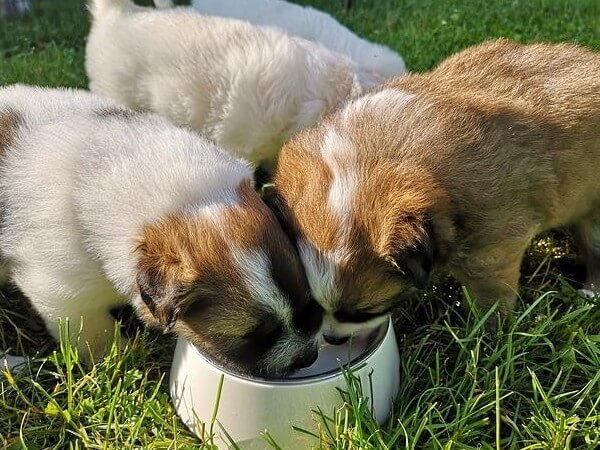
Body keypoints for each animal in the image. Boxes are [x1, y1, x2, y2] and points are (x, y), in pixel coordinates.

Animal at [0, 85, 324, 376]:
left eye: (308, 303)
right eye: (255, 335)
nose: (308, 358)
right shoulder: (61, 289)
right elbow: (89, 328)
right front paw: (116, 355)